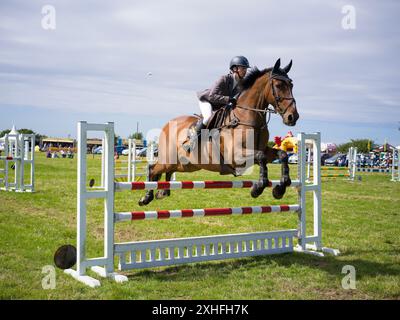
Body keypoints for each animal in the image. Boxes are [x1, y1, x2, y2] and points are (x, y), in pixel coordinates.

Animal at [139, 58, 298, 206]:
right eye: (278, 85)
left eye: (291, 85)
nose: (293, 117)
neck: (247, 117)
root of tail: (167, 125)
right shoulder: (235, 155)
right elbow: (261, 156)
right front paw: (257, 188)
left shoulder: (262, 149)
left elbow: (282, 155)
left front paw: (280, 188)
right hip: (168, 159)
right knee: (152, 169)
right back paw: (146, 197)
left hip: (185, 165)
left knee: (166, 171)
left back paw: (163, 191)